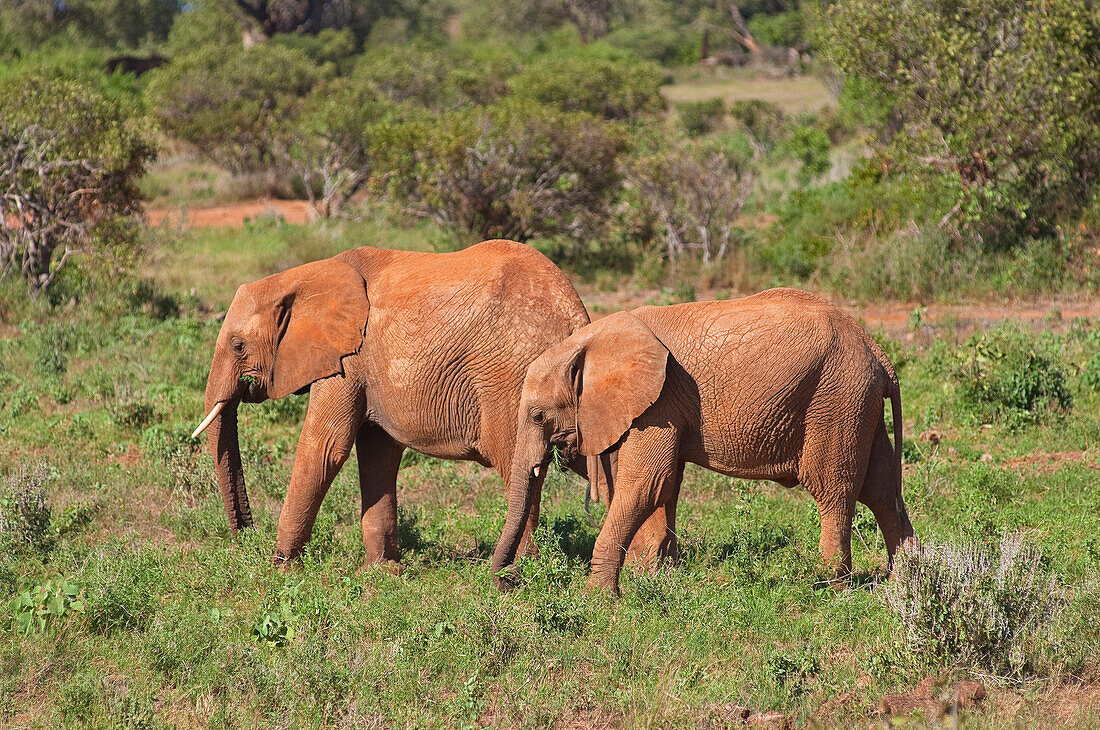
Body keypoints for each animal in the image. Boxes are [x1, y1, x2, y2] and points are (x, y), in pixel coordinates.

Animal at [189, 241, 589, 567]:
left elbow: (326, 447)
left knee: (519, 468)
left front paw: (281, 568)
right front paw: (381, 572)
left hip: (511, 379)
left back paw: (517, 576)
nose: (246, 535)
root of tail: (575, 314)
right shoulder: (365, 366)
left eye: (238, 346)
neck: (303, 275)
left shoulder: (349, 359)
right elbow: (377, 451)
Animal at [495, 288, 915, 598]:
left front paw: (596, 598)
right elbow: (666, 485)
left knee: (833, 489)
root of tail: (879, 353)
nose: (507, 581)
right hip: (857, 403)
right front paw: (660, 578)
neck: (593, 339)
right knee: (880, 490)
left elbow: (646, 484)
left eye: (537, 416)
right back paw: (906, 584)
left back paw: (829, 588)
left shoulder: (659, 402)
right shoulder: (668, 405)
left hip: (836, 399)